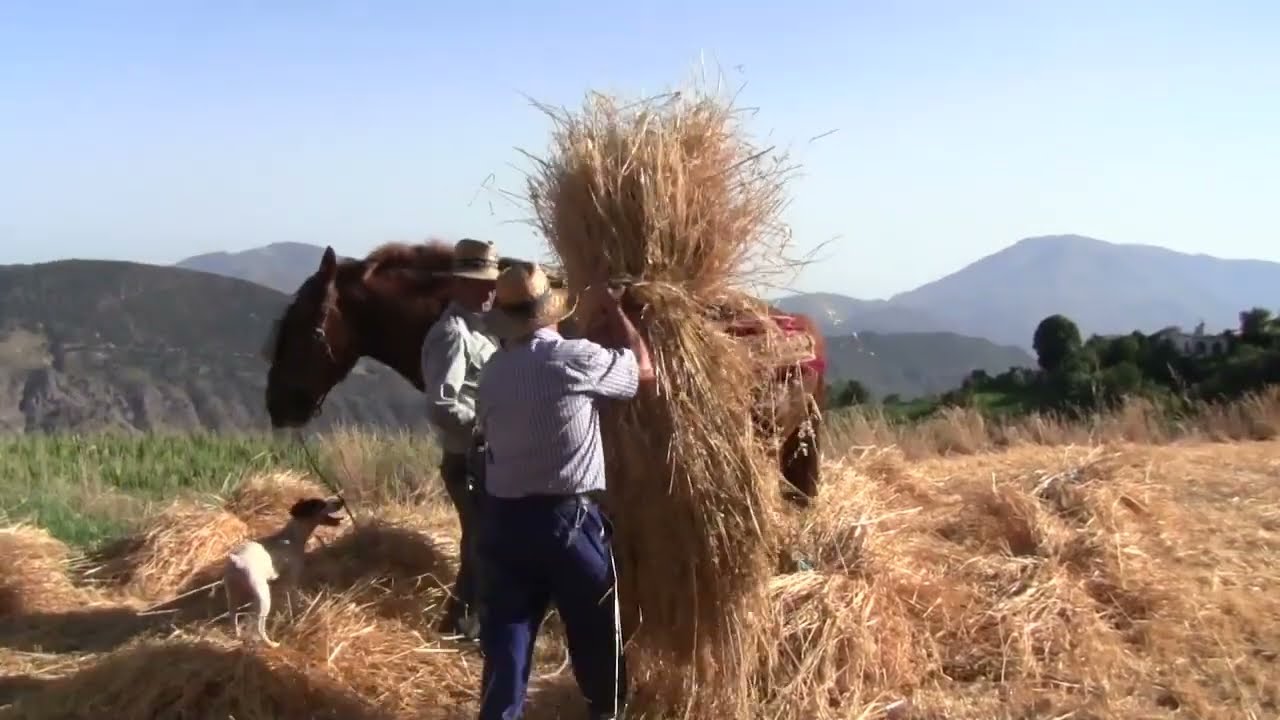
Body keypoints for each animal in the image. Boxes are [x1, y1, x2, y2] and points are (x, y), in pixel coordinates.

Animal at [222, 491, 345, 645]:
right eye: (320, 504)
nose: (341, 500)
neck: (291, 538)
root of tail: (237, 561)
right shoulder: (290, 582)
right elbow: (291, 603)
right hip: (263, 596)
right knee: (258, 627)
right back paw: (271, 644)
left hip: (233, 595)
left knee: (233, 616)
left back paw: (238, 636)